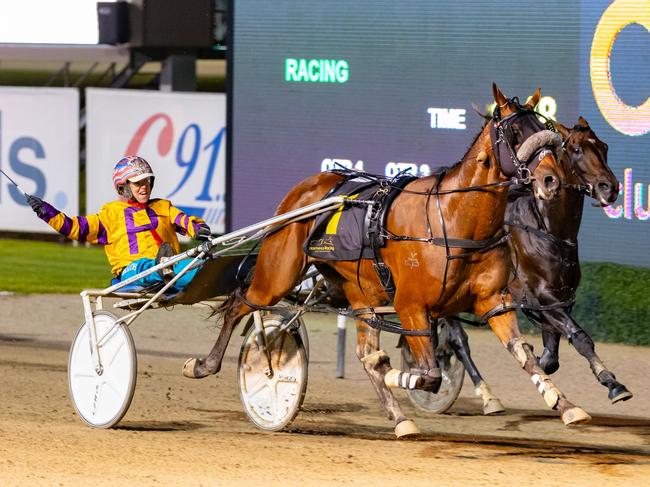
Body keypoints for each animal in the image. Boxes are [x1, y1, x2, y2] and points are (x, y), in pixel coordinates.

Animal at [181, 85, 588, 438]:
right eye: (516, 132)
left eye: (548, 131)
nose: (551, 180)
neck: (454, 218)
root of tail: (303, 189)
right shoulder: (411, 306)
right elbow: (428, 374)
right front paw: (402, 376)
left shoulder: (494, 303)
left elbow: (524, 355)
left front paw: (567, 405)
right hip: (277, 274)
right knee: (240, 304)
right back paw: (206, 365)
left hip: (362, 293)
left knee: (361, 349)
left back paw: (399, 419)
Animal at [442, 115, 632, 416]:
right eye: (576, 149)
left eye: (604, 146)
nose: (610, 187)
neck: (549, 231)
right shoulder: (543, 297)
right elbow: (580, 337)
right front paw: (613, 383)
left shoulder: (559, 300)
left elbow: (550, 357)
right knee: (458, 340)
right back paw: (484, 395)